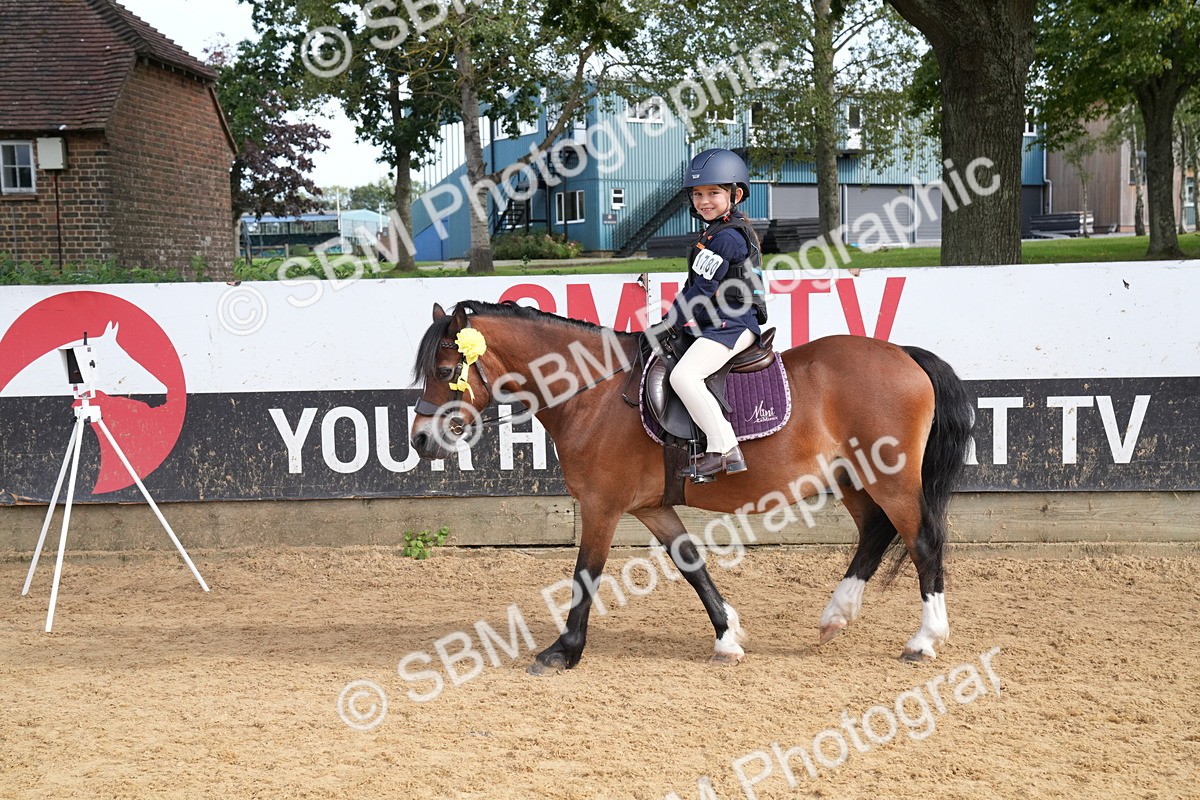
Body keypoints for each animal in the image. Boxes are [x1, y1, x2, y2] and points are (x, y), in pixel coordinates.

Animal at [410, 300, 973, 673]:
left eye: (445, 368)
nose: (420, 440)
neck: (595, 393)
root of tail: (904, 354)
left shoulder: (601, 507)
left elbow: (586, 574)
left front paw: (563, 650)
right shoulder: (652, 508)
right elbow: (690, 564)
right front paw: (727, 636)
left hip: (890, 478)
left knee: (923, 542)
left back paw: (924, 639)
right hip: (853, 478)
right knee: (875, 533)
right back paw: (836, 616)